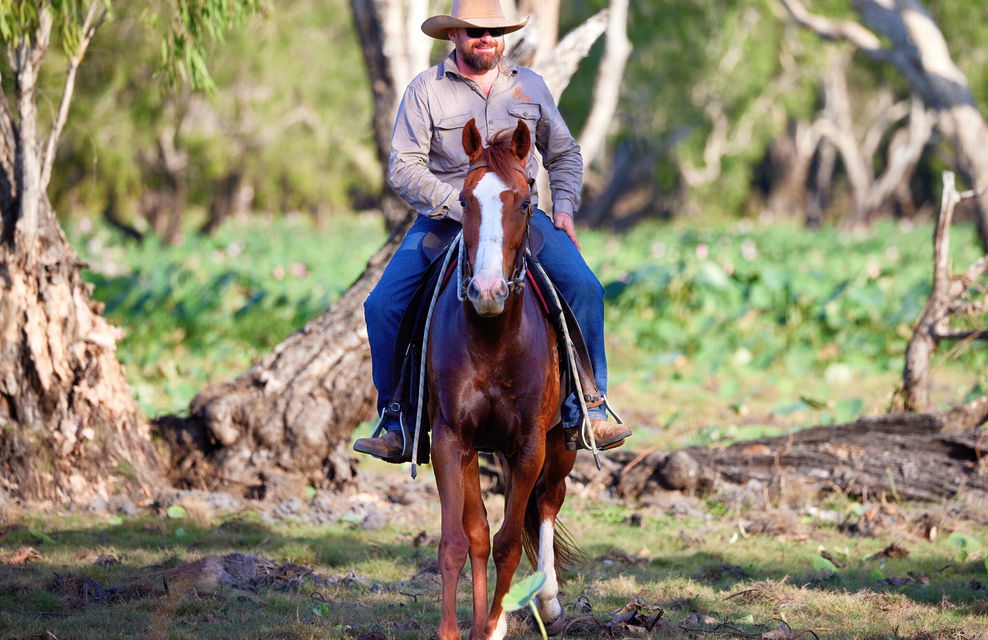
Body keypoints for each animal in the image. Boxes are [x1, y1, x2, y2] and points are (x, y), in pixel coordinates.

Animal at [426, 117, 579, 640]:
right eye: (464, 201)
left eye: (526, 202)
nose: (488, 291)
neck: (493, 339)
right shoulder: (451, 440)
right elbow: (460, 539)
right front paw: (461, 629)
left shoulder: (530, 444)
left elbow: (510, 542)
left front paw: (493, 626)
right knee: (480, 530)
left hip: (559, 444)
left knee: (548, 503)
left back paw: (548, 598)